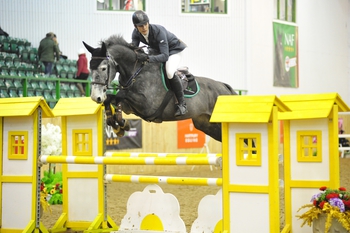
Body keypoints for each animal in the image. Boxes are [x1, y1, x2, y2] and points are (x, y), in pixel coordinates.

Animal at [83, 33, 237, 141]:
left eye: (103, 68)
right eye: (90, 68)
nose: (95, 97)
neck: (136, 71)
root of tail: (225, 87)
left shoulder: (146, 105)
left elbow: (120, 96)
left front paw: (120, 124)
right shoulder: (130, 107)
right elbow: (111, 99)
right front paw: (116, 124)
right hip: (207, 125)